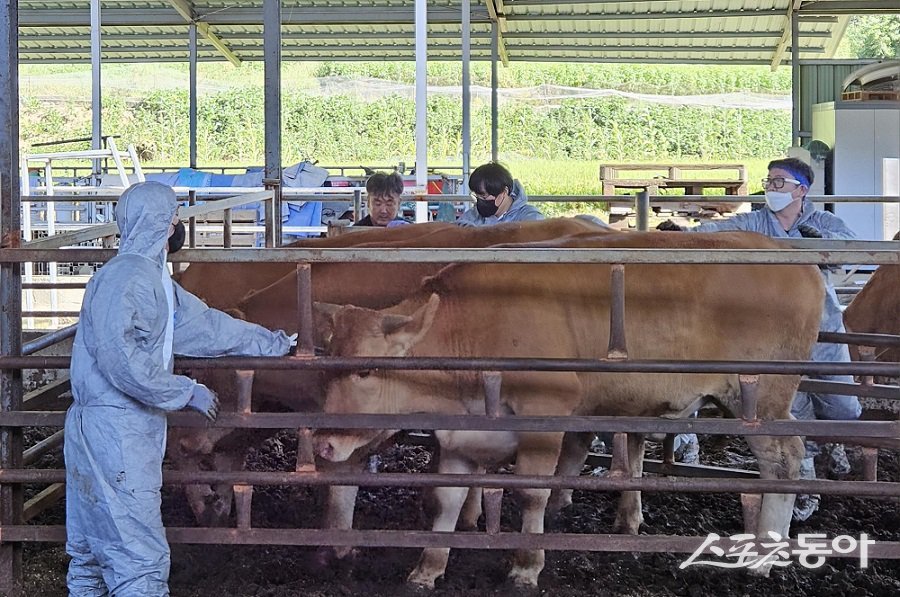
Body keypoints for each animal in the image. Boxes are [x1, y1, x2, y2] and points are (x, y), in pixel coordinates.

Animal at [312, 230, 824, 588]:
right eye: (326, 364)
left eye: (366, 371)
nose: (325, 443)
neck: (477, 326)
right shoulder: (459, 434)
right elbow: (447, 501)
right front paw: (428, 567)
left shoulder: (544, 418)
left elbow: (533, 495)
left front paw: (525, 566)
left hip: (762, 398)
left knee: (785, 459)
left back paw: (764, 555)